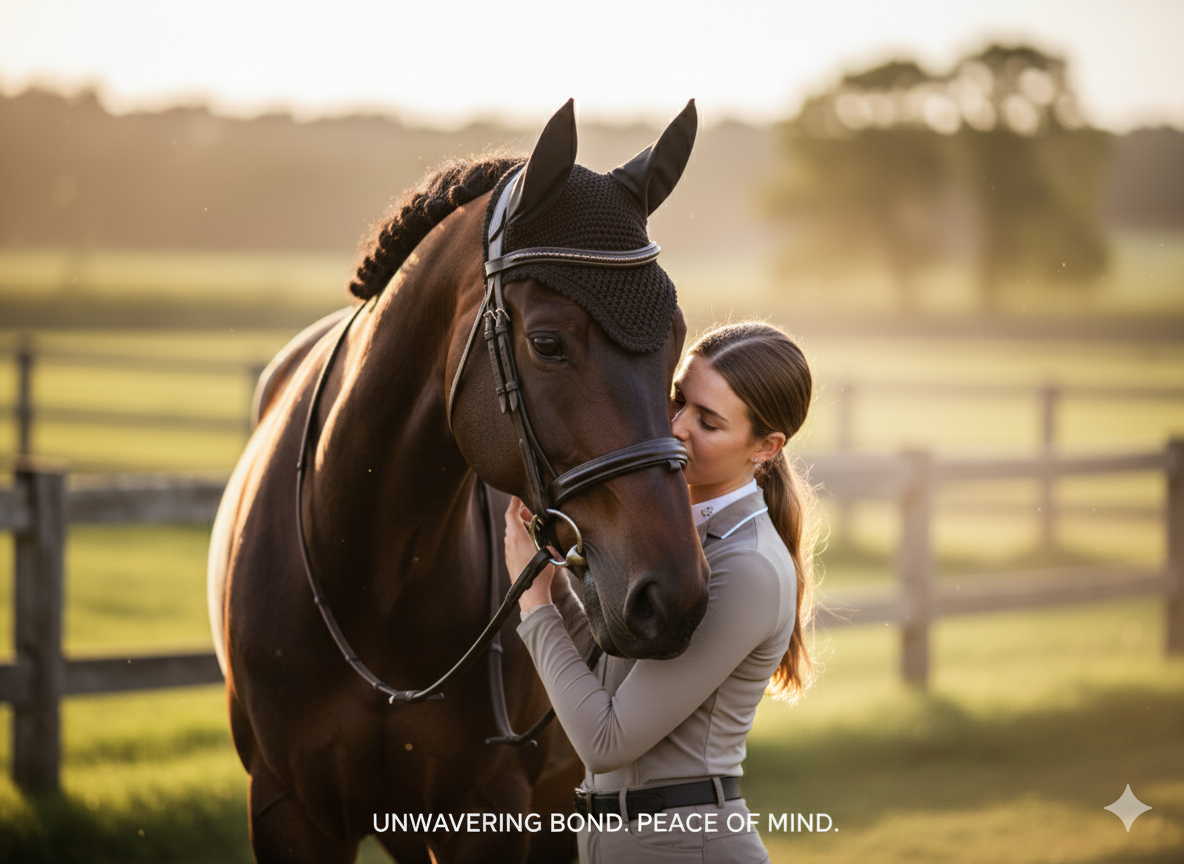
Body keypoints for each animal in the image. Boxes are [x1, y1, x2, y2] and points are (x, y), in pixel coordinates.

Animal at [207, 99, 710, 863]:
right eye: (548, 343)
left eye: (677, 339)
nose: (671, 596)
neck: (371, 573)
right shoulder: (288, 808)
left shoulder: (489, 809)